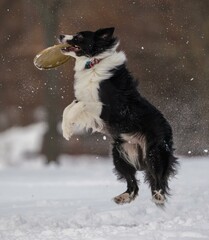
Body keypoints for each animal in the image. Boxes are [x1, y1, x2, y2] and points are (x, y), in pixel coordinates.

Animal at [58, 27, 178, 205]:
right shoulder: (83, 100)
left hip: (154, 153)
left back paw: (159, 196)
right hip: (119, 154)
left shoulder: (107, 108)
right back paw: (123, 197)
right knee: (133, 183)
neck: (93, 62)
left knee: (158, 178)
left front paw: (67, 131)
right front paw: (66, 129)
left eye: (79, 37)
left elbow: (78, 106)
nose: (60, 36)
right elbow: (68, 109)